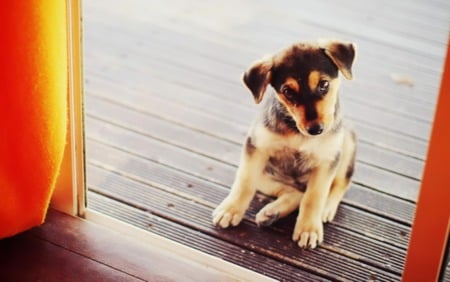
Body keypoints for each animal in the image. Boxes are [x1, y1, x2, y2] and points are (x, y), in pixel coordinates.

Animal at [213, 38, 356, 248]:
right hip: (264, 175)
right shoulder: (255, 146)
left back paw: (324, 210)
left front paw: (308, 229)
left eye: (324, 84)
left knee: (338, 184)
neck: (297, 131)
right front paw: (231, 210)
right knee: (295, 192)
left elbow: (315, 197)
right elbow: (244, 183)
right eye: (288, 92)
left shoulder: (327, 160)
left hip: (347, 144)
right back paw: (271, 213)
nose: (316, 130)